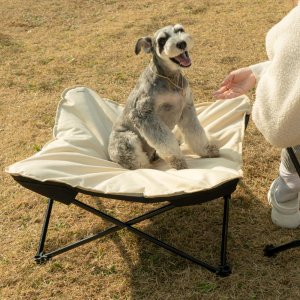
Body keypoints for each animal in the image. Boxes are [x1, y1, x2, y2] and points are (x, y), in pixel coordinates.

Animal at [108, 24, 218, 170]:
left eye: (180, 30)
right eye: (161, 40)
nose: (181, 43)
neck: (171, 79)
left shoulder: (187, 109)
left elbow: (196, 132)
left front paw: (207, 150)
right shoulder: (144, 115)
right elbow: (165, 140)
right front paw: (178, 161)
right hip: (126, 141)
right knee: (139, 162)